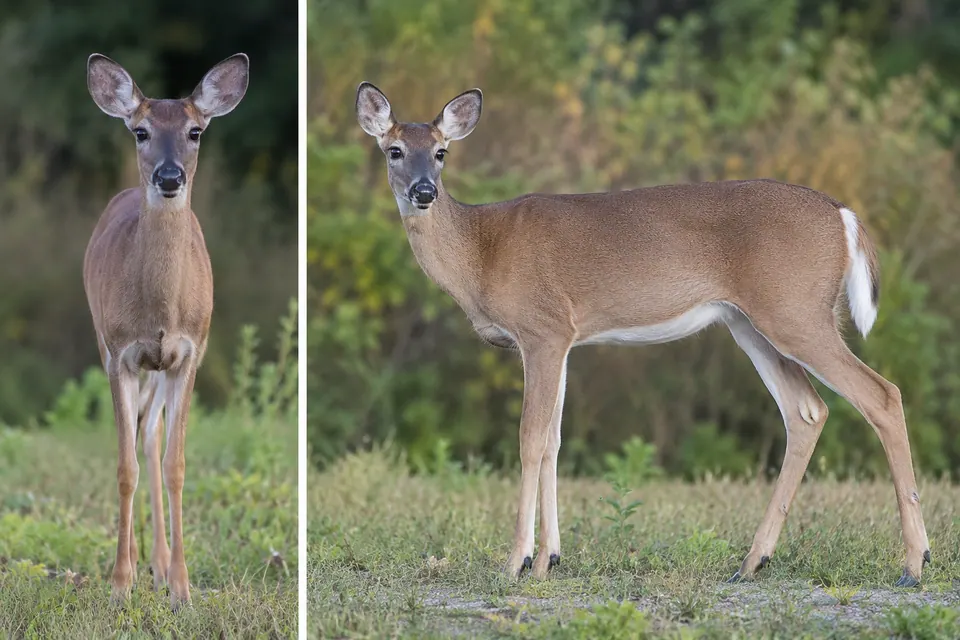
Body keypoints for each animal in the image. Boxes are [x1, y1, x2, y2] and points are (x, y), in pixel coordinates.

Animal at [84, 52, 249, 609]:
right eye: (140, 131)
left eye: (196, 131)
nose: (169, 175)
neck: (160, 310)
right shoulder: (120, 354)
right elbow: (124, 468)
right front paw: (119, 585)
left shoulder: (188, 352)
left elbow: (176, 466)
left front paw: (181, 588)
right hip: (107, 343)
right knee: (138, 442)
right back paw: (139, 564)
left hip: (160, 369)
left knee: (152, 436)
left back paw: (157, 565)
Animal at [355, 82, 932, 588]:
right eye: (395, 151)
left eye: (443, 152)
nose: (424, 192)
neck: (481, 253)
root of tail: (844, 215)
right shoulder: (563, 341)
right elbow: (554, 440)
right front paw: (549, 560)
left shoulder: (543, 329)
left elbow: (529, 439)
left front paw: (516, 562)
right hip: (751, 321)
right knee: (807, 411)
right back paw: (751, 562)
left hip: (795, 312)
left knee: (881, 395)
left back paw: (913, 563)